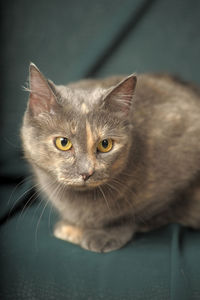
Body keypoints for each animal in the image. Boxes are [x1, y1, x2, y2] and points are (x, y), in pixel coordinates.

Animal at [20, 63, 200, 253]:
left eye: (105, 144)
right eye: (63, 142)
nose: (86, 172)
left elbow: (137, 215)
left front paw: (105, 234)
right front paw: (72, 227)